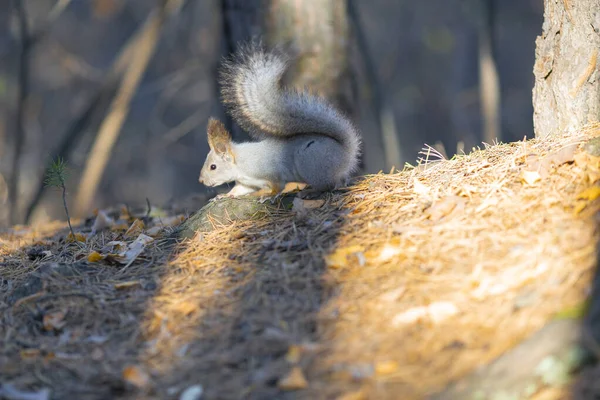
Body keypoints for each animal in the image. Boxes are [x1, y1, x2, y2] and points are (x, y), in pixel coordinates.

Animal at [200, 42, 360, 198]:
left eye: (213, 167)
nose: (201, 181)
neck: (241, 164)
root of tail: (347, 155)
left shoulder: (272, 173)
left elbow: (278, 186)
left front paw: (269, 196)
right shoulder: (247, 182)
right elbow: (239, 189)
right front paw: (225, 195)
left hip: (311, 163)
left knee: (326, 186)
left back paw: (310, 192)